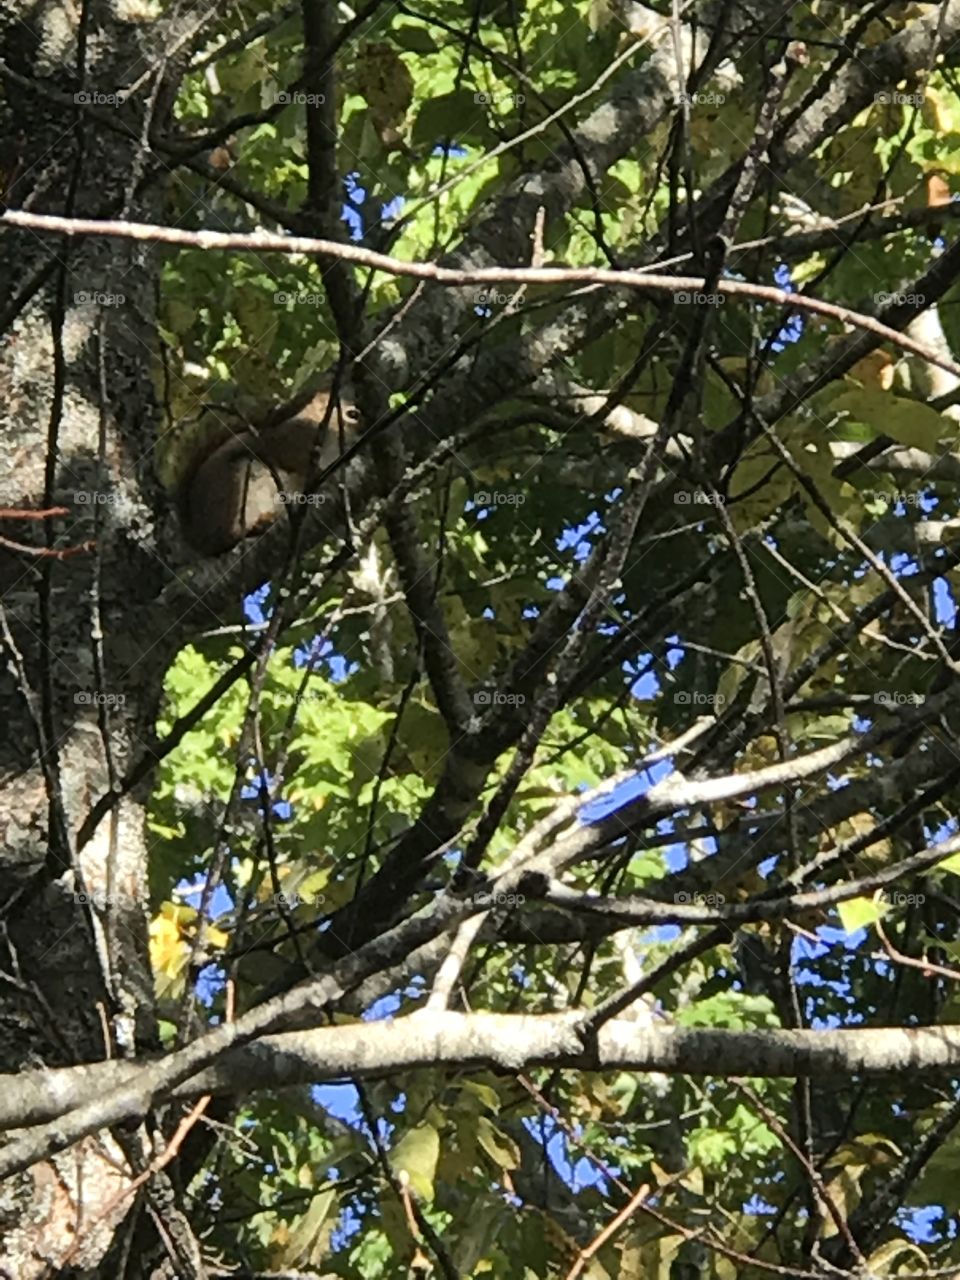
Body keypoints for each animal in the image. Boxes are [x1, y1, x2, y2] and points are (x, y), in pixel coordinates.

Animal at [177, 387, 361, 556]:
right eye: (351, 414)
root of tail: (202, 539)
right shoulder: (292, 437)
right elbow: (290, 457)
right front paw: (320, 473)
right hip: (237, 488)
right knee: (228, 535)